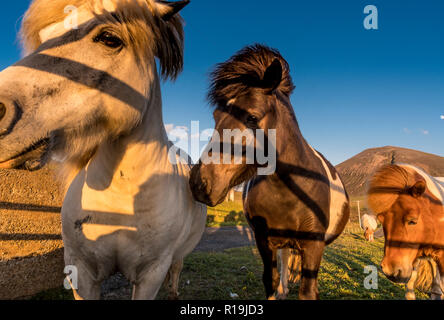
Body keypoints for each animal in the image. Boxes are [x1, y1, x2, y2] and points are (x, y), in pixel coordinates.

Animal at [0, 0, 206, 300]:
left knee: (177, 268)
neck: (121, 197)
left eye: (109, 38)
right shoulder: (81, 271)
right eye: (44, 37)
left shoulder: (151, 275)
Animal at [190, 45, 350, 300]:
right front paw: (279, 289)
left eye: (252, 117)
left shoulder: (313, 246)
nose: (199, 182)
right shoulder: (264, 241)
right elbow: (270, 280)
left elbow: (308, 291)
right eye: (216, 116)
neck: (291, 190)